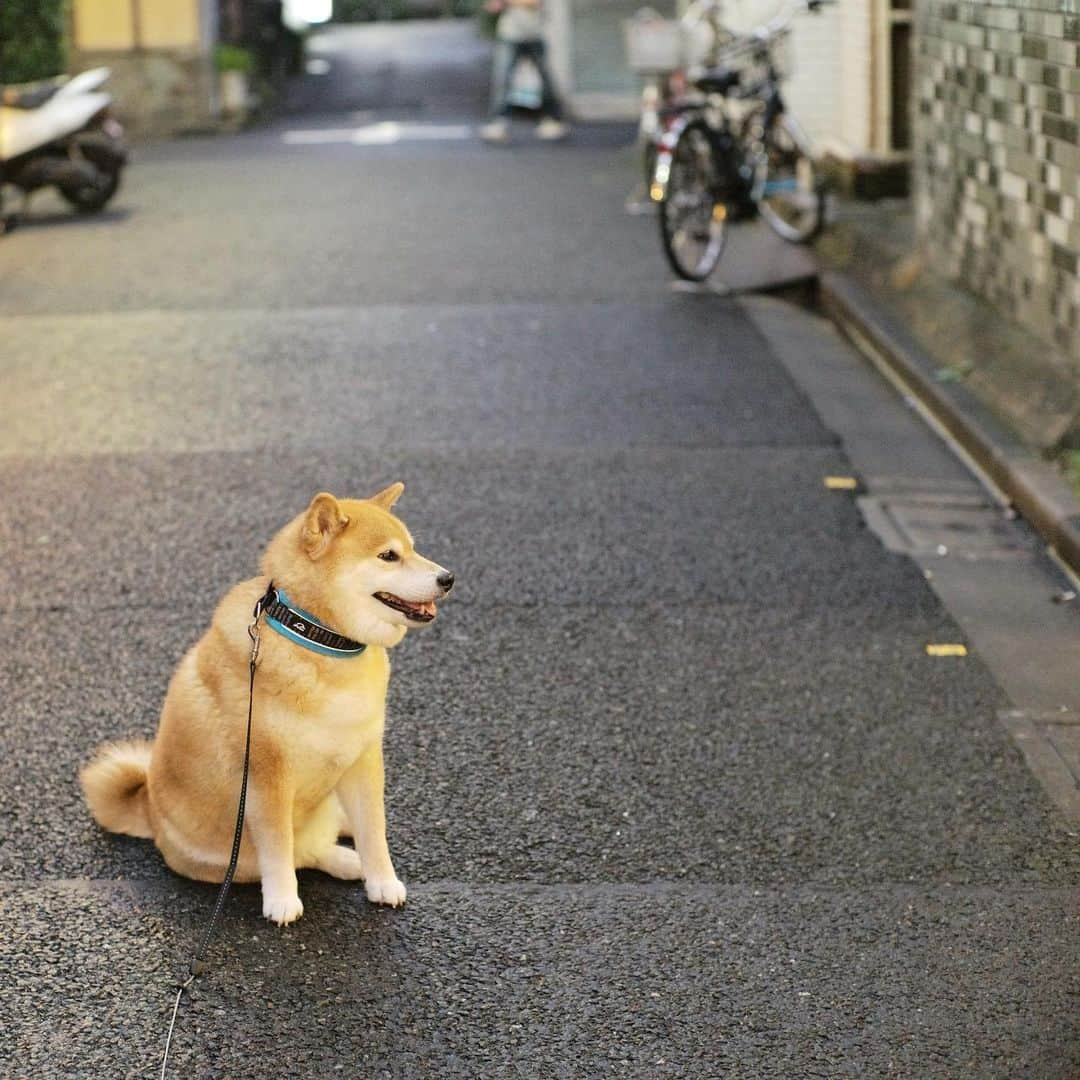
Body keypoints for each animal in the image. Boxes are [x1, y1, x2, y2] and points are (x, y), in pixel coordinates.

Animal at [81, 486, 451, 924]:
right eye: (388, 556)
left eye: (412, 548)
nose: (448, 578)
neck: (319, 640)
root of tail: (149, 809)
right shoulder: (266, 774)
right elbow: (278, 846)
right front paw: (282, 901)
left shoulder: (363, 757)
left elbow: (374, 832)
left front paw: (383, 882)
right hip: (228, 855)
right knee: (299, 853)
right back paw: (343, 861)